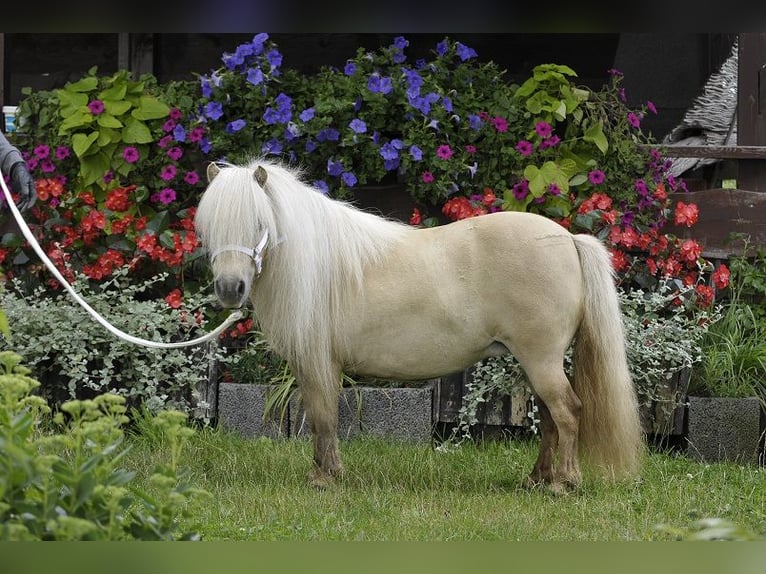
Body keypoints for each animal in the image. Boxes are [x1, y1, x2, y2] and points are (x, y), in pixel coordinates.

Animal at [195, 158, 644, 496]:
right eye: (210, 226)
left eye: (259, 222)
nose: (230, 289)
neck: (319, 264)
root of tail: (568, 239)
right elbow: (325, 418)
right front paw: (329, 473)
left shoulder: (318, 362)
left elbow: (323, 417)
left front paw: (323, 479)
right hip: (536, 363)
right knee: (551, 418)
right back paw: (536, 480)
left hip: (541, 360)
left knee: (567, 412)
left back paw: (562, 485)